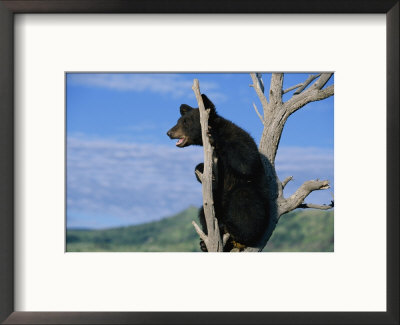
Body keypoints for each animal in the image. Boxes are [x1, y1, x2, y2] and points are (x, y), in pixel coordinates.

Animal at [166, 93, 268, 251]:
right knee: (203, 212)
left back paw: (236, 230)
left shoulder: (239, 137)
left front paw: (213, 136)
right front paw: (203, 172)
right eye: (179, 121)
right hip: (216, 205)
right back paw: (206, 242)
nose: (169, 133)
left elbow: (246, 162)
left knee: (245, 201)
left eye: (185, 122)